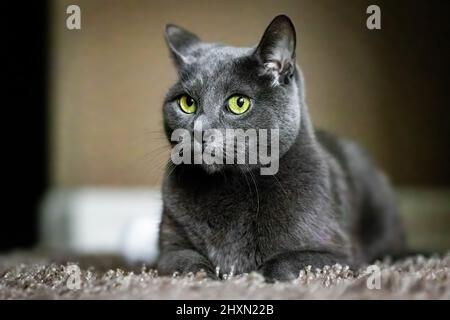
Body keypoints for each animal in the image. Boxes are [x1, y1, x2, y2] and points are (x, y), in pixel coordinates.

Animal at [156, 14, 404, 280]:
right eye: (187, 103)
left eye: (239, 103)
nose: (199, 130)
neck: (229, 183)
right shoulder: (169, 250)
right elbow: (187, 263)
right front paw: (206, 277)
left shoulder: (341, 255)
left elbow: (282, 263)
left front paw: (254, 277)